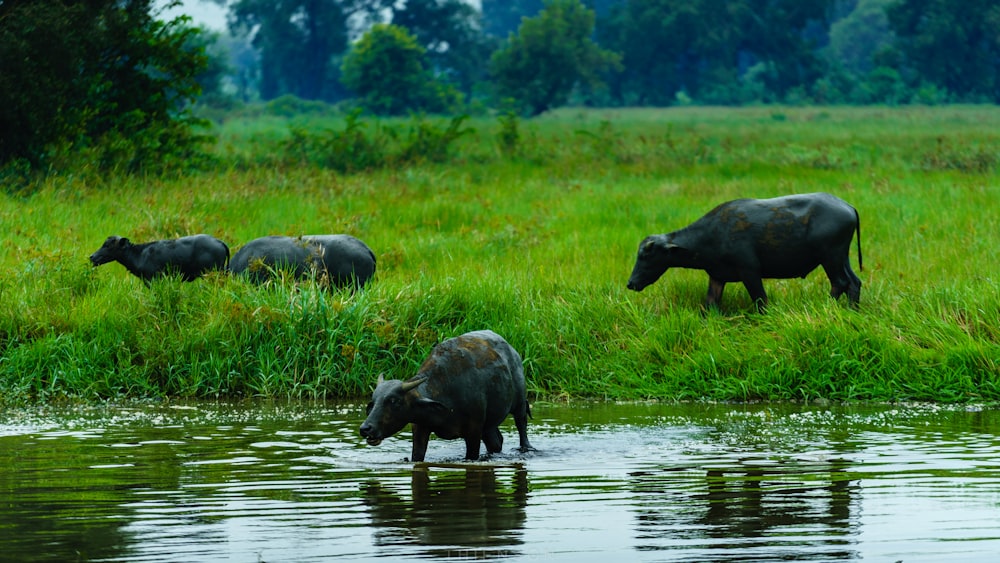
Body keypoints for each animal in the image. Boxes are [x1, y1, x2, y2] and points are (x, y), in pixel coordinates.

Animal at [358, 330, 532, 462]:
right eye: (373, 402)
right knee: (496, 442)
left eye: (394, 401)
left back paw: (527, 448)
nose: (365, 428)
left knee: (521, 424)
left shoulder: (474, 432)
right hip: (489, 425)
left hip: (519, 403)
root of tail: (513, 352)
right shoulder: (420, 428)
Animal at [628, 194, 864, 312]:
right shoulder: (717, 277)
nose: (631, 283)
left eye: (646, 256)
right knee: (854, 283)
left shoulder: (750, 272)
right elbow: (709, 305)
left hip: (830, 257)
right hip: (842, 257)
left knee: (840, 283)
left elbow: (761, 301)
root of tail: (847, 206)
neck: (712, 234)